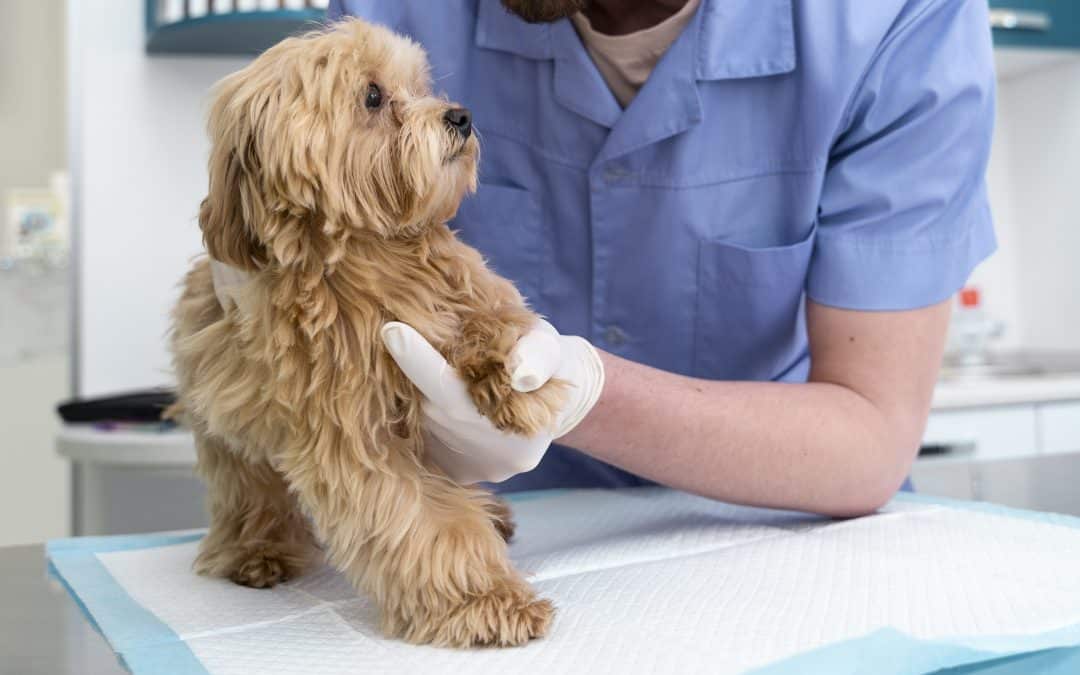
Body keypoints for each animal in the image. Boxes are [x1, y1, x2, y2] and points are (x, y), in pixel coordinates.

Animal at [168, 18, 565, 643]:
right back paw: (257, 550)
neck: (372, 255)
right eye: (374, 97)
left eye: (420, 86)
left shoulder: (455, 288)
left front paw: (515, 378)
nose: (461, 115)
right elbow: (424, 521)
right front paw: (484, 600)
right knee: (248, 490)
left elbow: (492, 312)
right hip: (226, 431)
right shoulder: (349, 434)